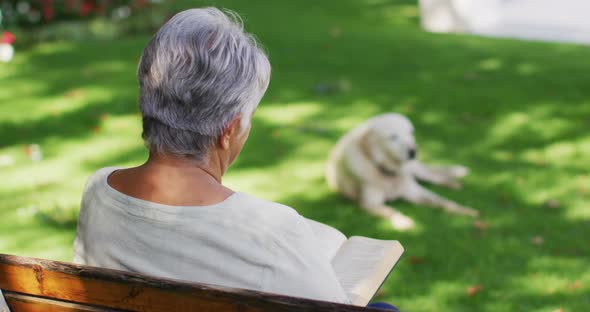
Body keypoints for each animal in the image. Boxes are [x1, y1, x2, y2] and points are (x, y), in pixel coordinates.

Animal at [328, 113, 480, 230]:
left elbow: (442, 201)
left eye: (410, 133)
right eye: (393, 137)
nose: (413, 151)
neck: (390, 172)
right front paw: (403, 222)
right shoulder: (369, 203)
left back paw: (453, 182)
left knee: (433, 174)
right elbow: (390, 211)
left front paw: (464, 210)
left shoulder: (414, 191)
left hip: (416, 169)